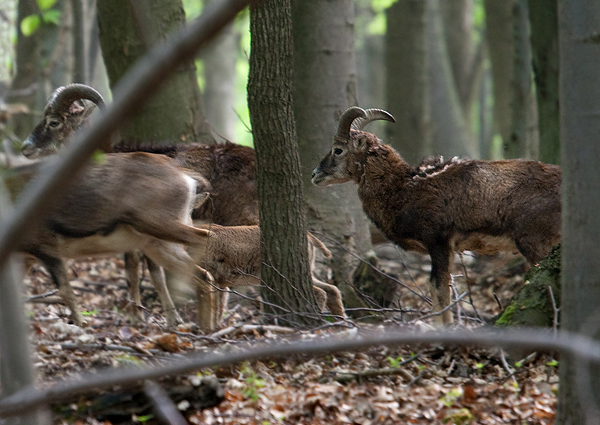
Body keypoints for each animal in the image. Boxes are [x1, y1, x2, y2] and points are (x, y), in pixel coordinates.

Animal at [190, 224, 344, 330]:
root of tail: (309, 236)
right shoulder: (220, 282)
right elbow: (218, 307)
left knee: (321, 292)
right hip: (307, 271)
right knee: (332, 289)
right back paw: (340, 324)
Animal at [312, 106, 560, 324]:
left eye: (338, 149)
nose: (315, 174)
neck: (404, 188)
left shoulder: (439, 242)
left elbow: (439, 287)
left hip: (534, 243)